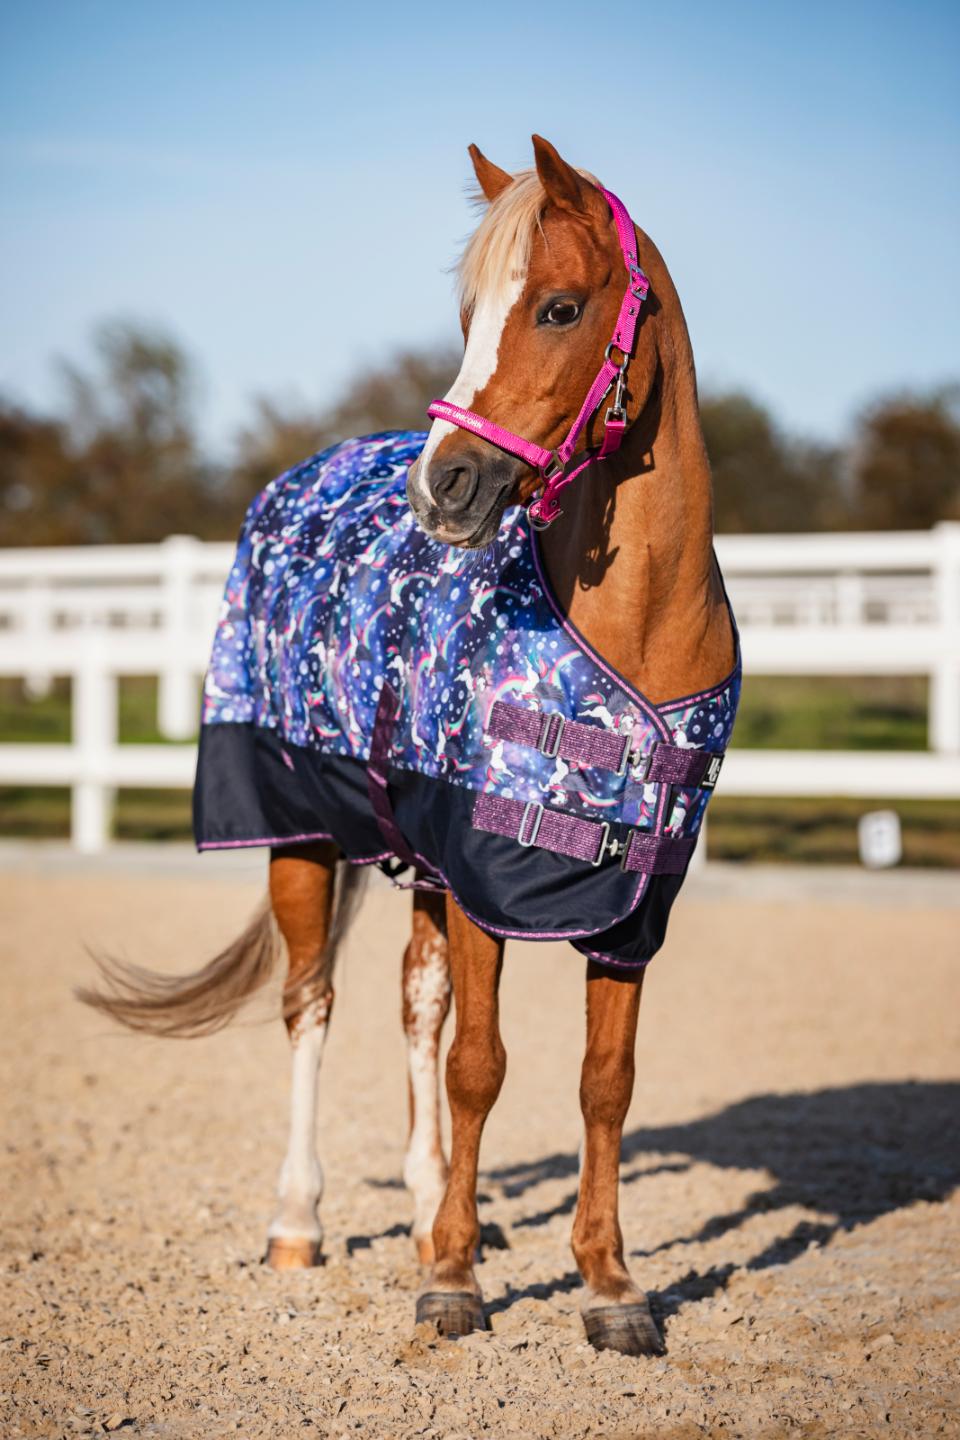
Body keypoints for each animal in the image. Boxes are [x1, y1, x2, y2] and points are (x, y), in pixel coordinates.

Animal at [80, 134, 739, 1358]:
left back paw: (437, 1198)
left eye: (560, 307)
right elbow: (482, 1066)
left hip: (417, 859)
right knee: (312, 1005)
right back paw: (302, 1222)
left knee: (414, 1006)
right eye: (469, 312)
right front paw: (451, 1282)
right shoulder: (485, 872)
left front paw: (609, 1284)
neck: (634, 633)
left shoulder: (631, 904)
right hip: (296, 834)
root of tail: (300, 480)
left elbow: (604, 1080)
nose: (446, 486)